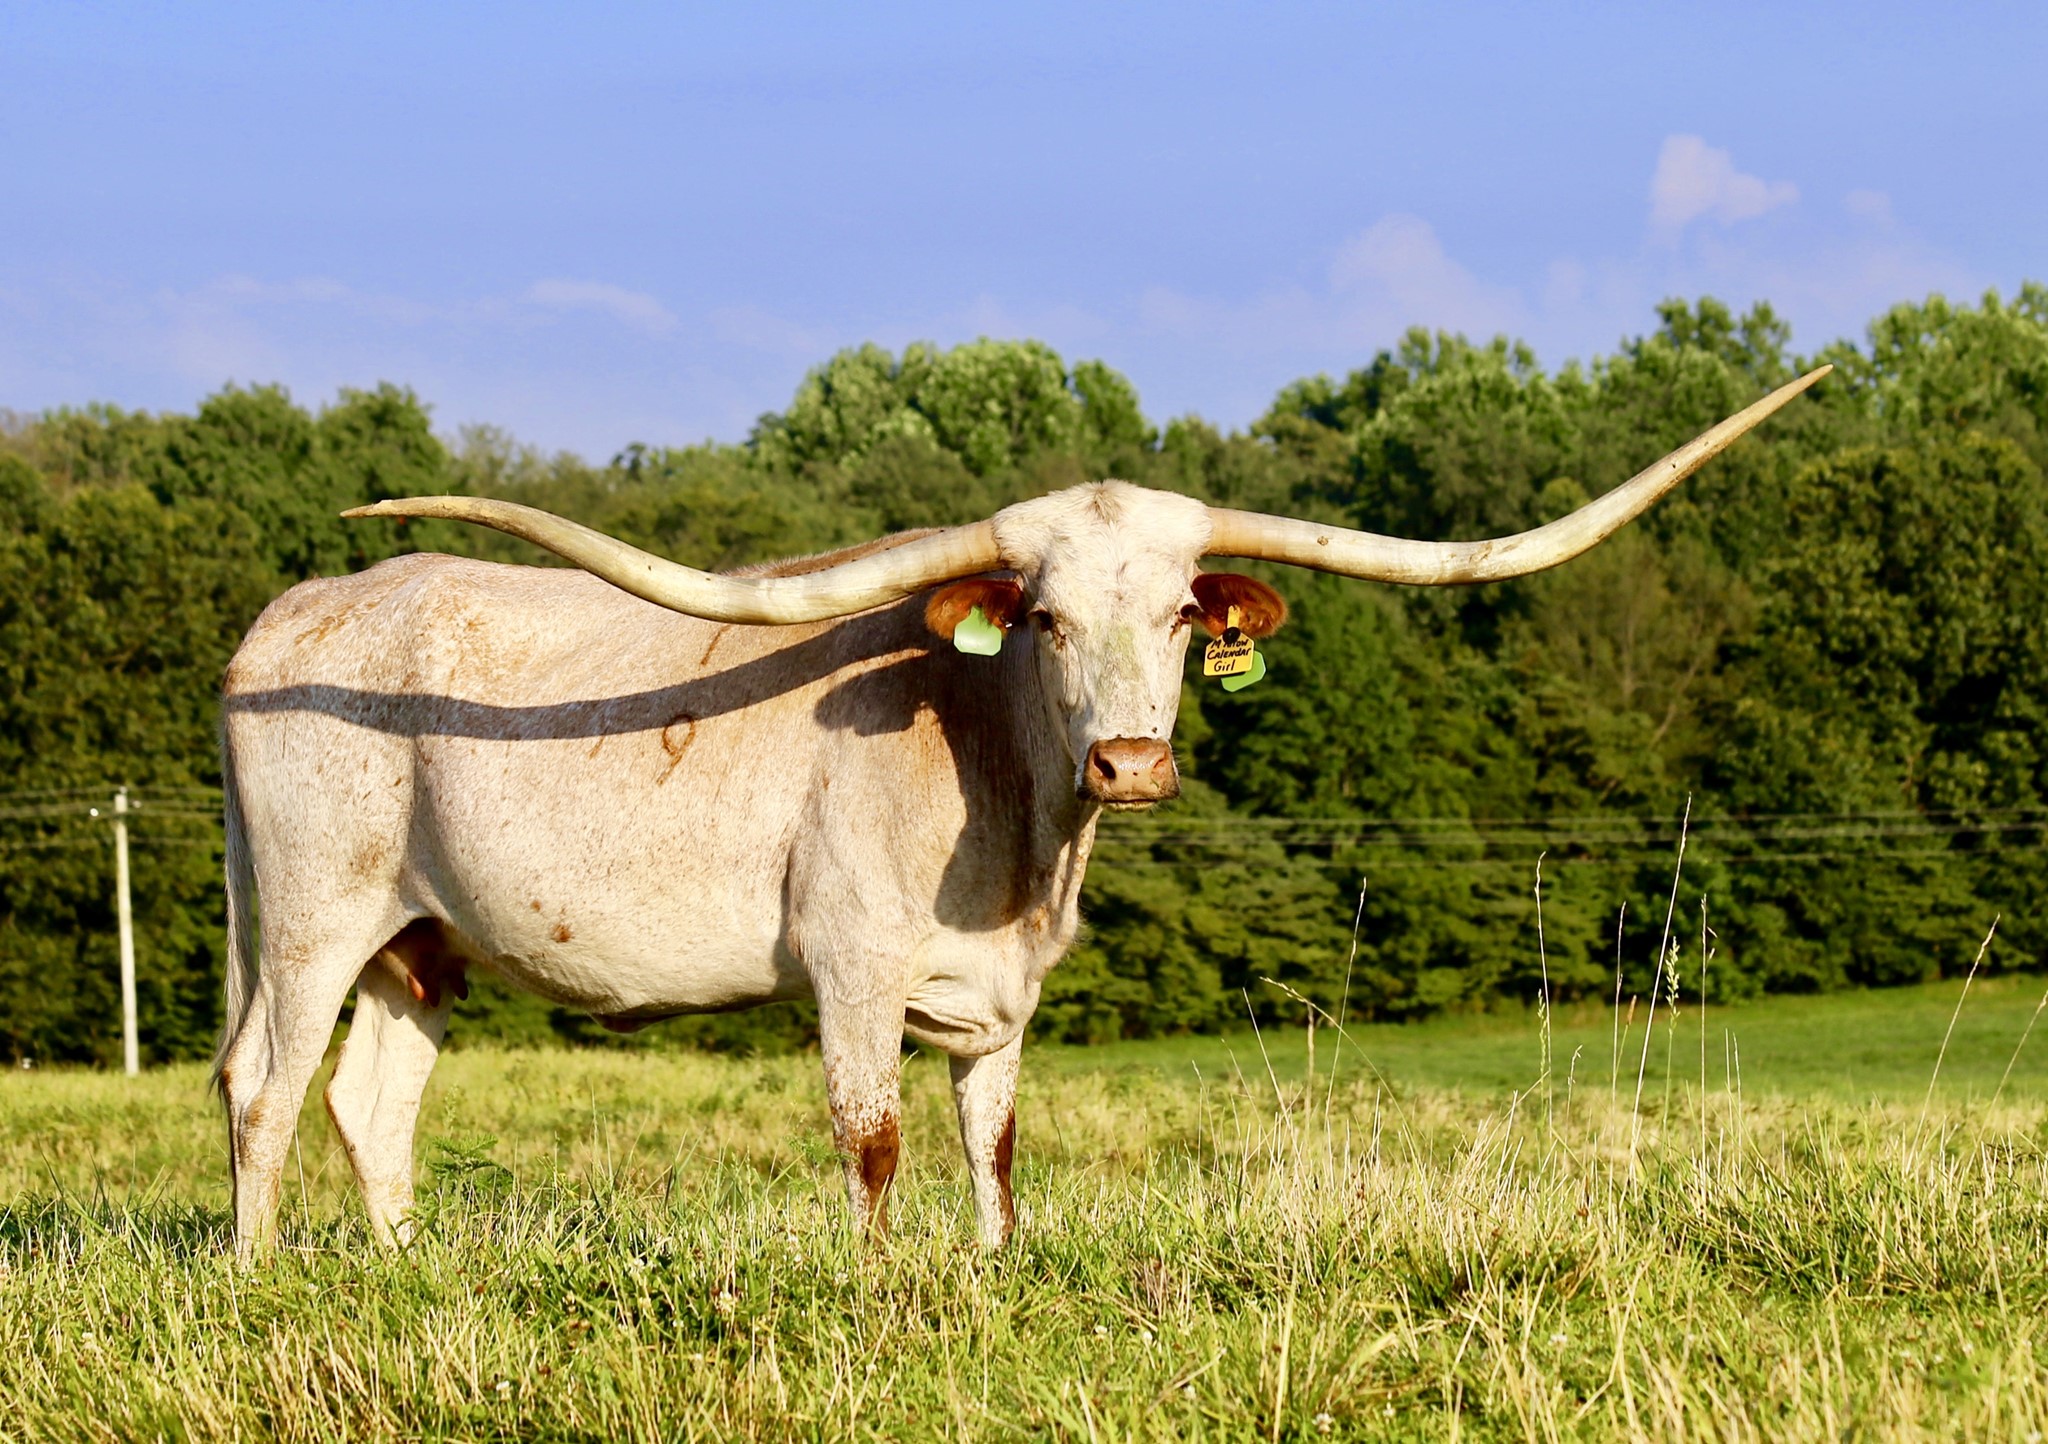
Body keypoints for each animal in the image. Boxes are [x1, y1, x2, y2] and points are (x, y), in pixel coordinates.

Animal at [212, 366, 1826, 1258]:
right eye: (1041, 617)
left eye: (1181, 615)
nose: (1130, 763)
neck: (1001, 806)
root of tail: (293, 615)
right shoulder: (850, 967)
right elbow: (870, 1141)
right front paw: (877, 1297)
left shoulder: (1003, 998)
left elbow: (992, 1151)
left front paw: (990, 1279)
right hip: (307, 921)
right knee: (262, 1088)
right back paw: (252, 1275)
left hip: (421, 943)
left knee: (371, 1102)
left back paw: (409, 1274)